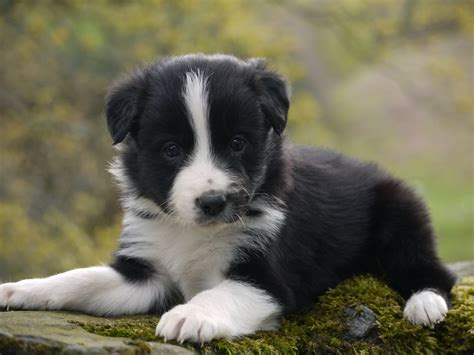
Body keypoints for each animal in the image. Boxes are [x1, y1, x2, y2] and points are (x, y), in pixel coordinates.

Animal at [1, 54, 458, 344]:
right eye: (171, 150)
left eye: (238, 143)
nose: (213, 202)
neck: (191, 231)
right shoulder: (146, 273)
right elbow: (79, 278)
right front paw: (20, 290)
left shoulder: (266, 277)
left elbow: (219, 293)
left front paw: (189, 315)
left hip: (399, 215)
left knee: (433, 270)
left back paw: (424, 304)